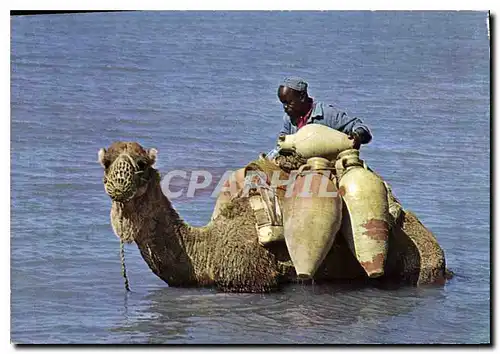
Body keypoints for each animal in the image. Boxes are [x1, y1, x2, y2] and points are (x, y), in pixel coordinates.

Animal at [98, 141, 454, 294]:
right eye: (106, 162)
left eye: (141, 164)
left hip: (420, 264)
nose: (118, 185)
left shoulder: (254, 281)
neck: (206, 253)